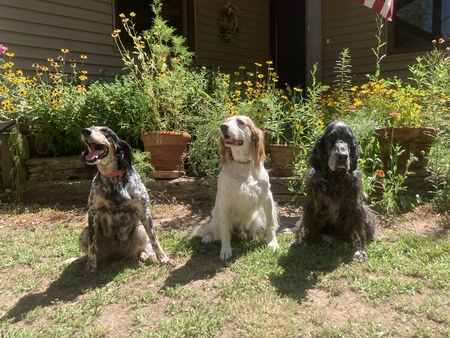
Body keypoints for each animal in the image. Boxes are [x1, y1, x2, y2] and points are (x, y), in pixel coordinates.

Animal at [79, 126, 174, 272]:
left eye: (105, 131)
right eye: (92, 127)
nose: (86, 130)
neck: (112, 176)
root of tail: (117, 254)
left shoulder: (144, 211)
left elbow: (154, 240)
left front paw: (164, 259)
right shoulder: (93, 213)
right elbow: (92, 246)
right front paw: (90, 265)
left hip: (140, 231)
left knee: (140, 250)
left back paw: (143, 256)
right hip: (84, 233)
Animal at [194, 115, 280, 260]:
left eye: (240, 122)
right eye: (226, 121)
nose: (223, 127)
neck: (242, 165)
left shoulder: (267, 197)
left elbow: (271, 224)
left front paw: (272, 243)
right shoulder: (224, 201)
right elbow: (224, 231)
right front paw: (226, 250)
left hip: (256, 218)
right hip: (216, 217)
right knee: (213, 231)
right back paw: (208, 237)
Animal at [290, 121, 374, 262]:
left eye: (349, 137)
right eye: (331, 137)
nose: (342, 156)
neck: (335, 177)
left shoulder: (355, 206)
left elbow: (357, 230)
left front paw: (359, 250)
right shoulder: (312, 204)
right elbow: (306, 225)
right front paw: (300, 241)